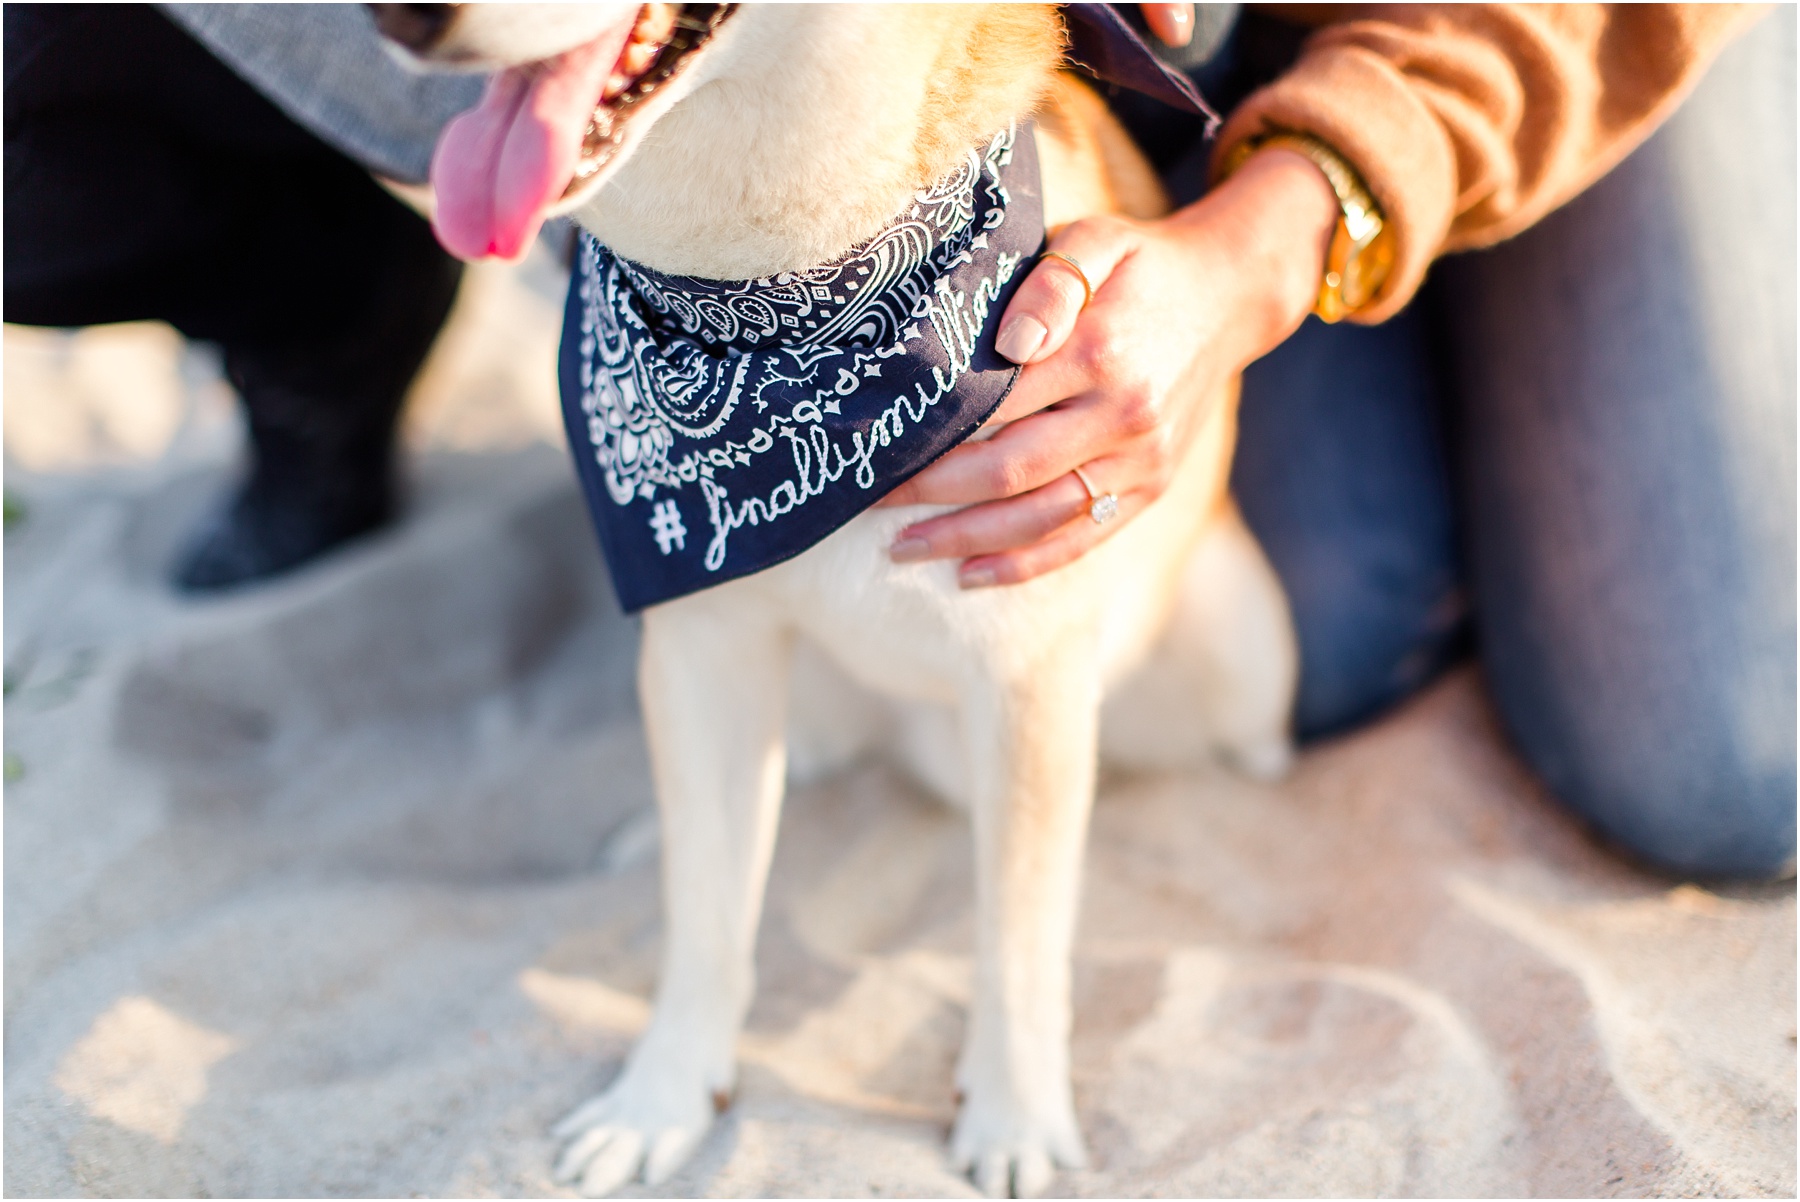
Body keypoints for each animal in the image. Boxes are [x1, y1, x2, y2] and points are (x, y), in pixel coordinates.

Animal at [376, 7, 1296, 1194]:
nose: (394, 19)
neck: (775, 302)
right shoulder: (705, 646)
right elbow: (706, 915)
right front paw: (665, 1095)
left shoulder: (1026, 677)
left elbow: (1019, 943)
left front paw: (1014, 1118)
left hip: (1244, 650)